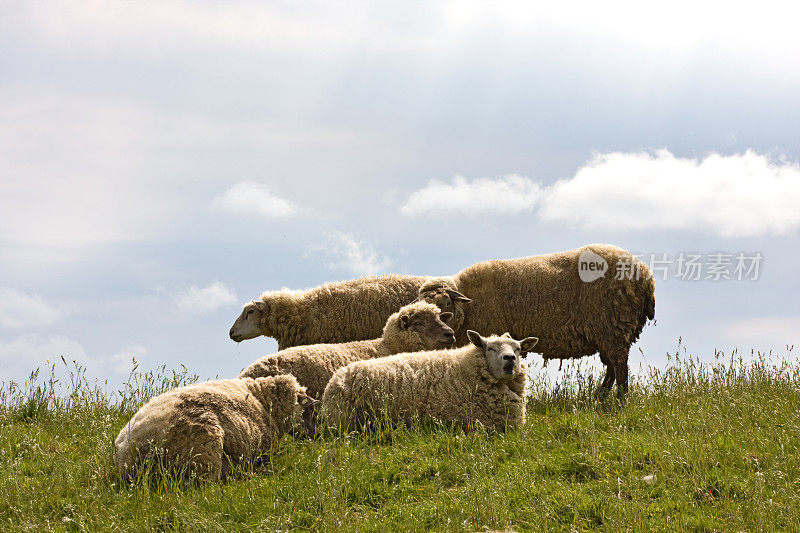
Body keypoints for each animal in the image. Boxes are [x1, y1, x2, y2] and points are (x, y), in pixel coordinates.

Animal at [418, 244, 656, 394]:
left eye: (447, 304)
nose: (445, 332)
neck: (469, 305)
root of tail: (646, 276)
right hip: (609, 332)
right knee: (612, 367)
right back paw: (602, 395)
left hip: (613, 327)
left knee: (620, 366)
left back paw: (620, 399)